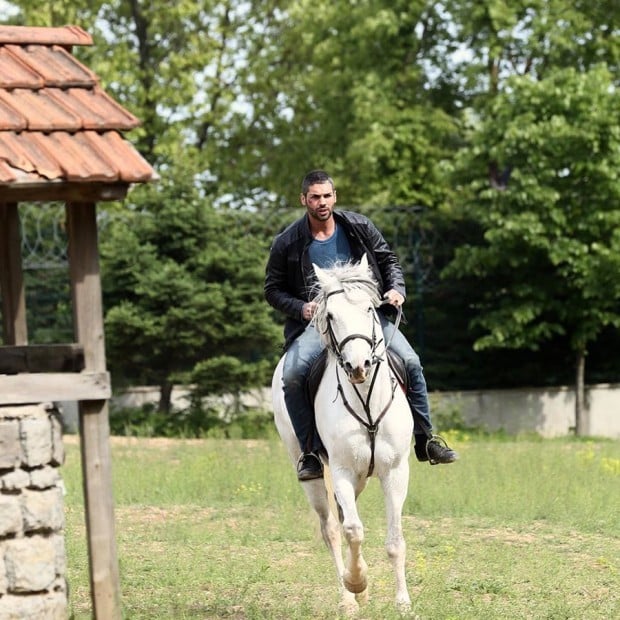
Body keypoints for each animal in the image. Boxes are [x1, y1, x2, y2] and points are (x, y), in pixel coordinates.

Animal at [272, 254, 414, 612]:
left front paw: (403, 602)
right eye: (331, 315)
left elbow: (395, 540)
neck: (366, 402)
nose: (358, 366)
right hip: (310, 471)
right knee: (331, 528)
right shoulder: (342, 471)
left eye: (370, 309)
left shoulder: (395, 472)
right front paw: (357, 582)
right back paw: (349, 598)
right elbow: (352, 530)